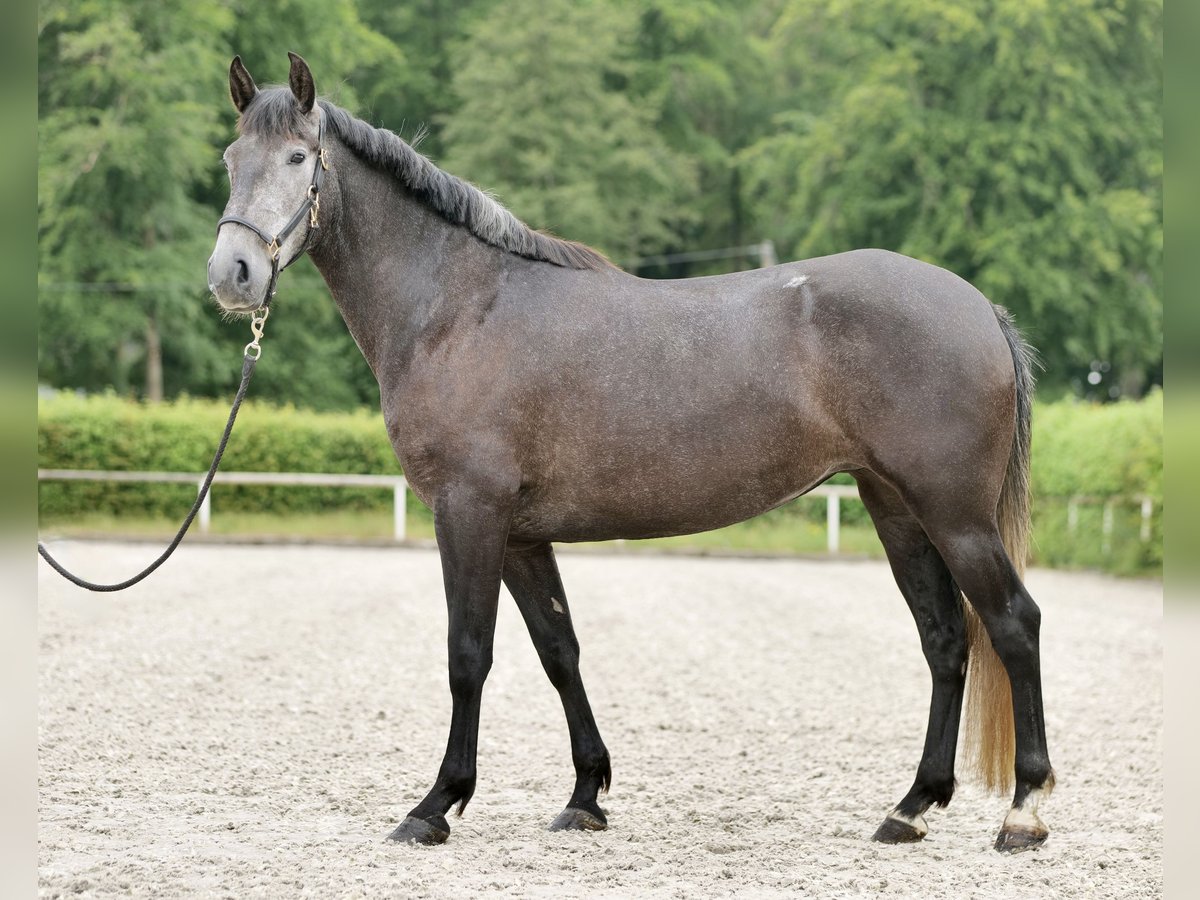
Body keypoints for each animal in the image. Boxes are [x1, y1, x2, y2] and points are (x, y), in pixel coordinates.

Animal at [211, 52, 1056, 854]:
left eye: (297, 157)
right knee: (946, 640)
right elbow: (559, 650)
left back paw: (1023, 812)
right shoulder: (521, 534)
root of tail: (979, 307)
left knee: (1013, 623)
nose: (232, 274)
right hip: (896, 509)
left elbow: (468, 654)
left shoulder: (469, 512)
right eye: (229, 158)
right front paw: (586, 795)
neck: (458, 307)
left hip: (954, 515)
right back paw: (910, 809)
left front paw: (435, 806)